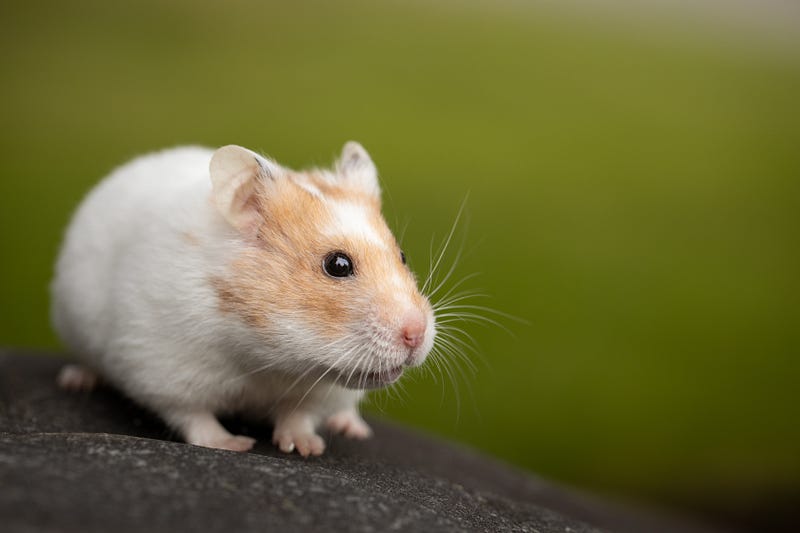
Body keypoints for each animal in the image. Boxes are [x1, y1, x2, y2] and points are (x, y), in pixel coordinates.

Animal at [50, 143, 438, 456]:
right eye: (337, 265)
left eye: (402, 256)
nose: (416, 335)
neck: (269, 359)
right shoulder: (162, 367)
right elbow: (193, 416)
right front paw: (234, 445)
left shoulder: (320, 391)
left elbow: (299, 414)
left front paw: (307, 448)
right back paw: (77, 380)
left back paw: (351, 427)